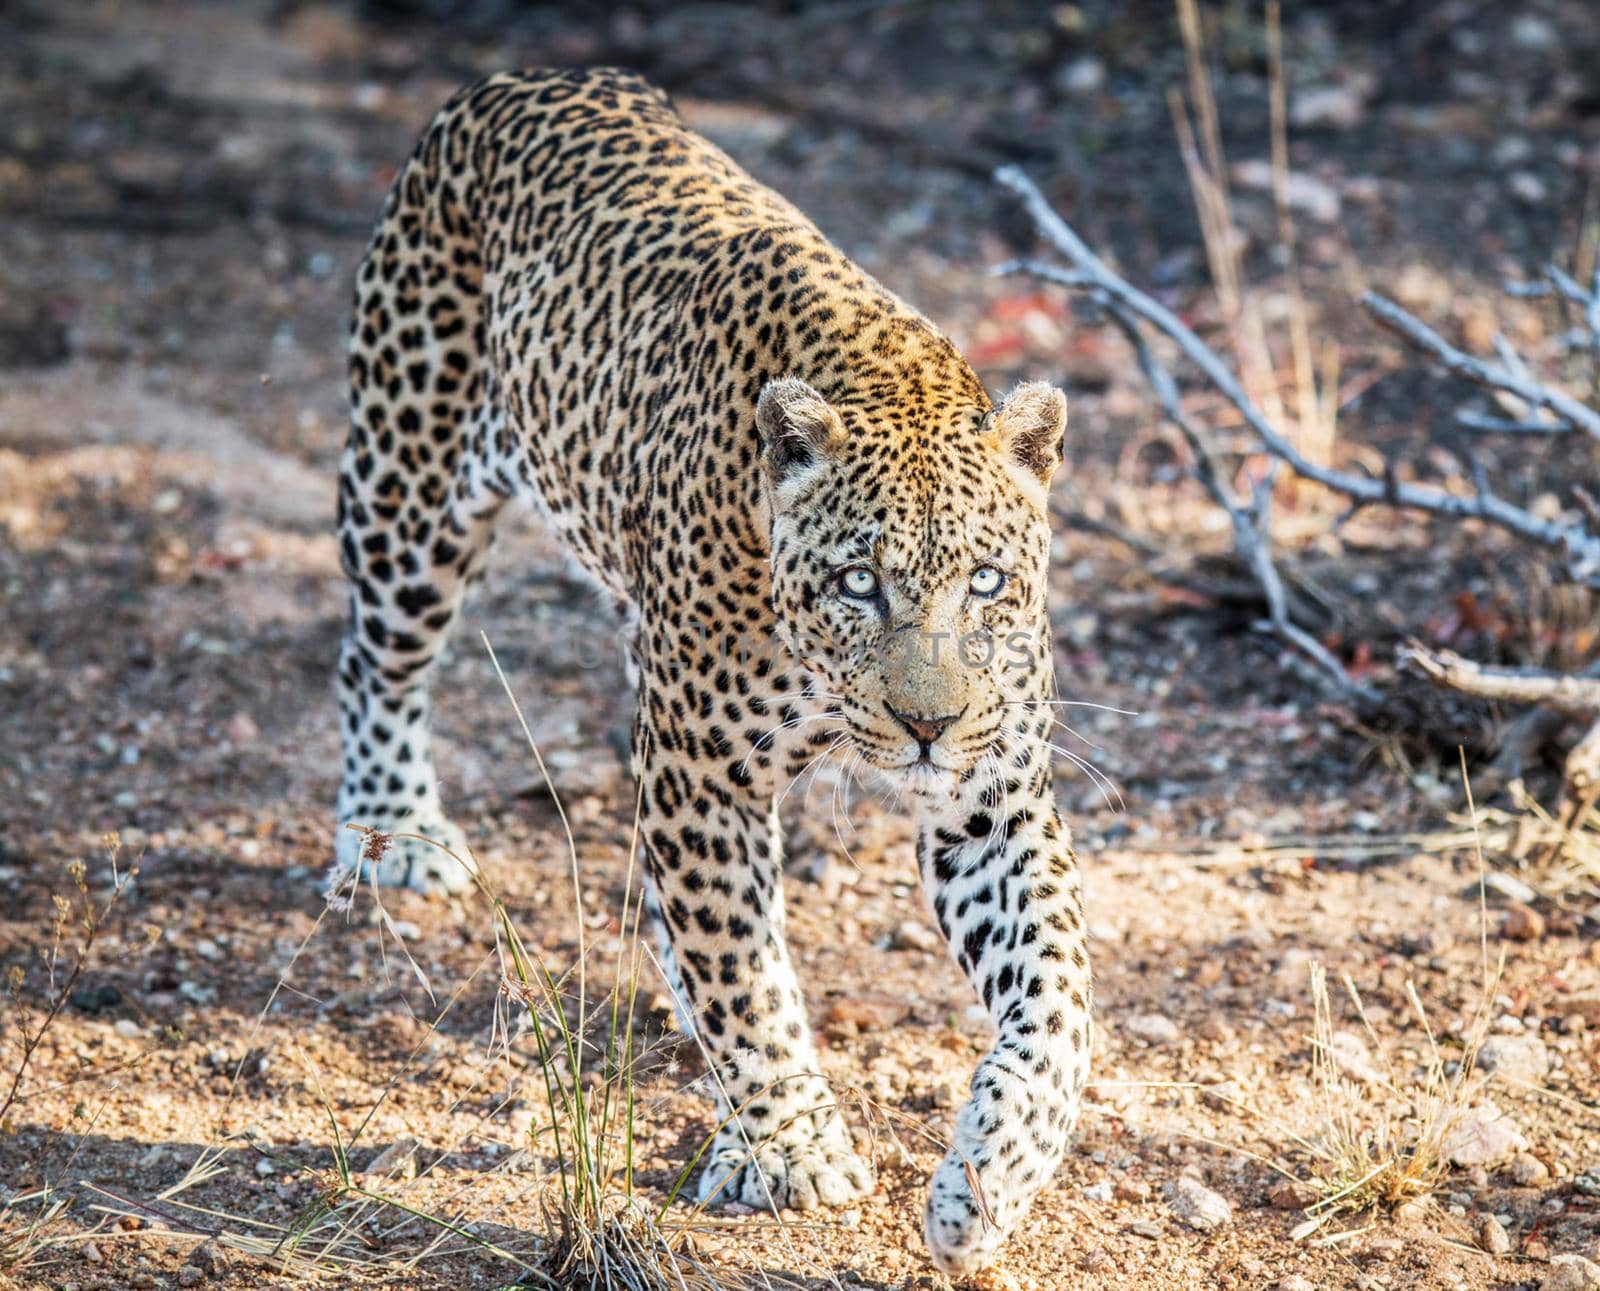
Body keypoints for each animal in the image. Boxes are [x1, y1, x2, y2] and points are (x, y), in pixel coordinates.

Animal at [331, 67, 1094, 1273]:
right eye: (858, 583)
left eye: (985, 581)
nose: (927, 725)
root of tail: (522, 79)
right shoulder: (703, 780)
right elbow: (742, 971)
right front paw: (790, 1147)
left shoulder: (992, 797)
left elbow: (1058, 991)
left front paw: (990, 1176)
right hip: (409, 490)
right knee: (375, 659)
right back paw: (392, 828)